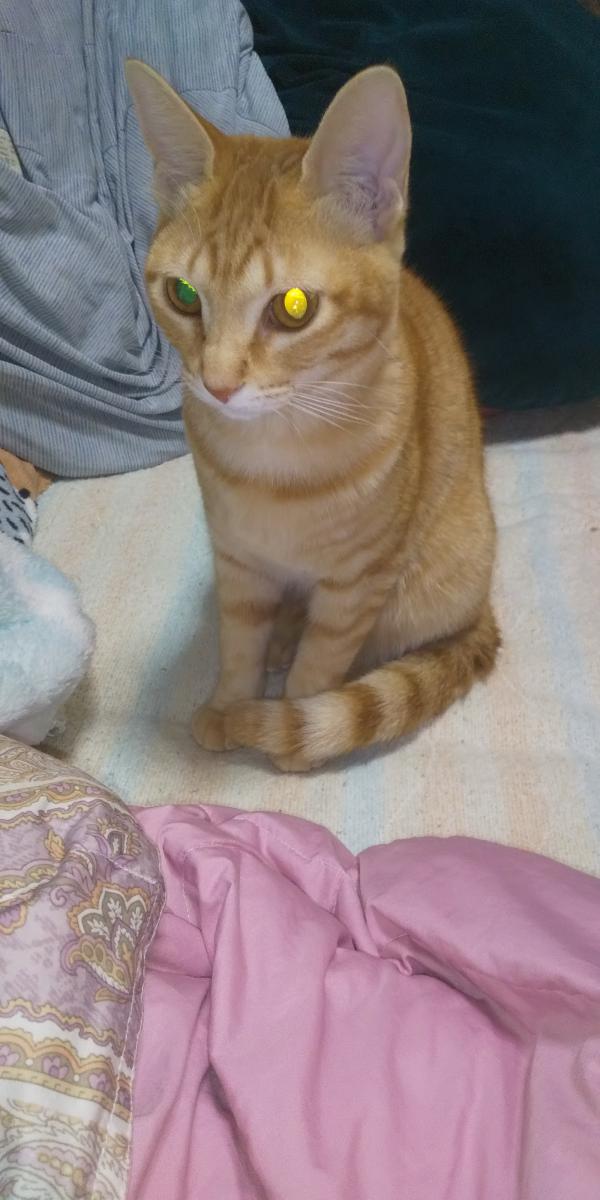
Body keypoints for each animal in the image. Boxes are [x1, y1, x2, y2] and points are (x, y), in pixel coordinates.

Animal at [127, 60, 499, 771]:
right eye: (183, 295)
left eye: (293, 307)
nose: (216, 384)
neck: (274, 464)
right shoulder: (238, 562)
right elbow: (238, 641)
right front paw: (230, 702)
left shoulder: (357, 584)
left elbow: (321, 667)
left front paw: (285, 729)